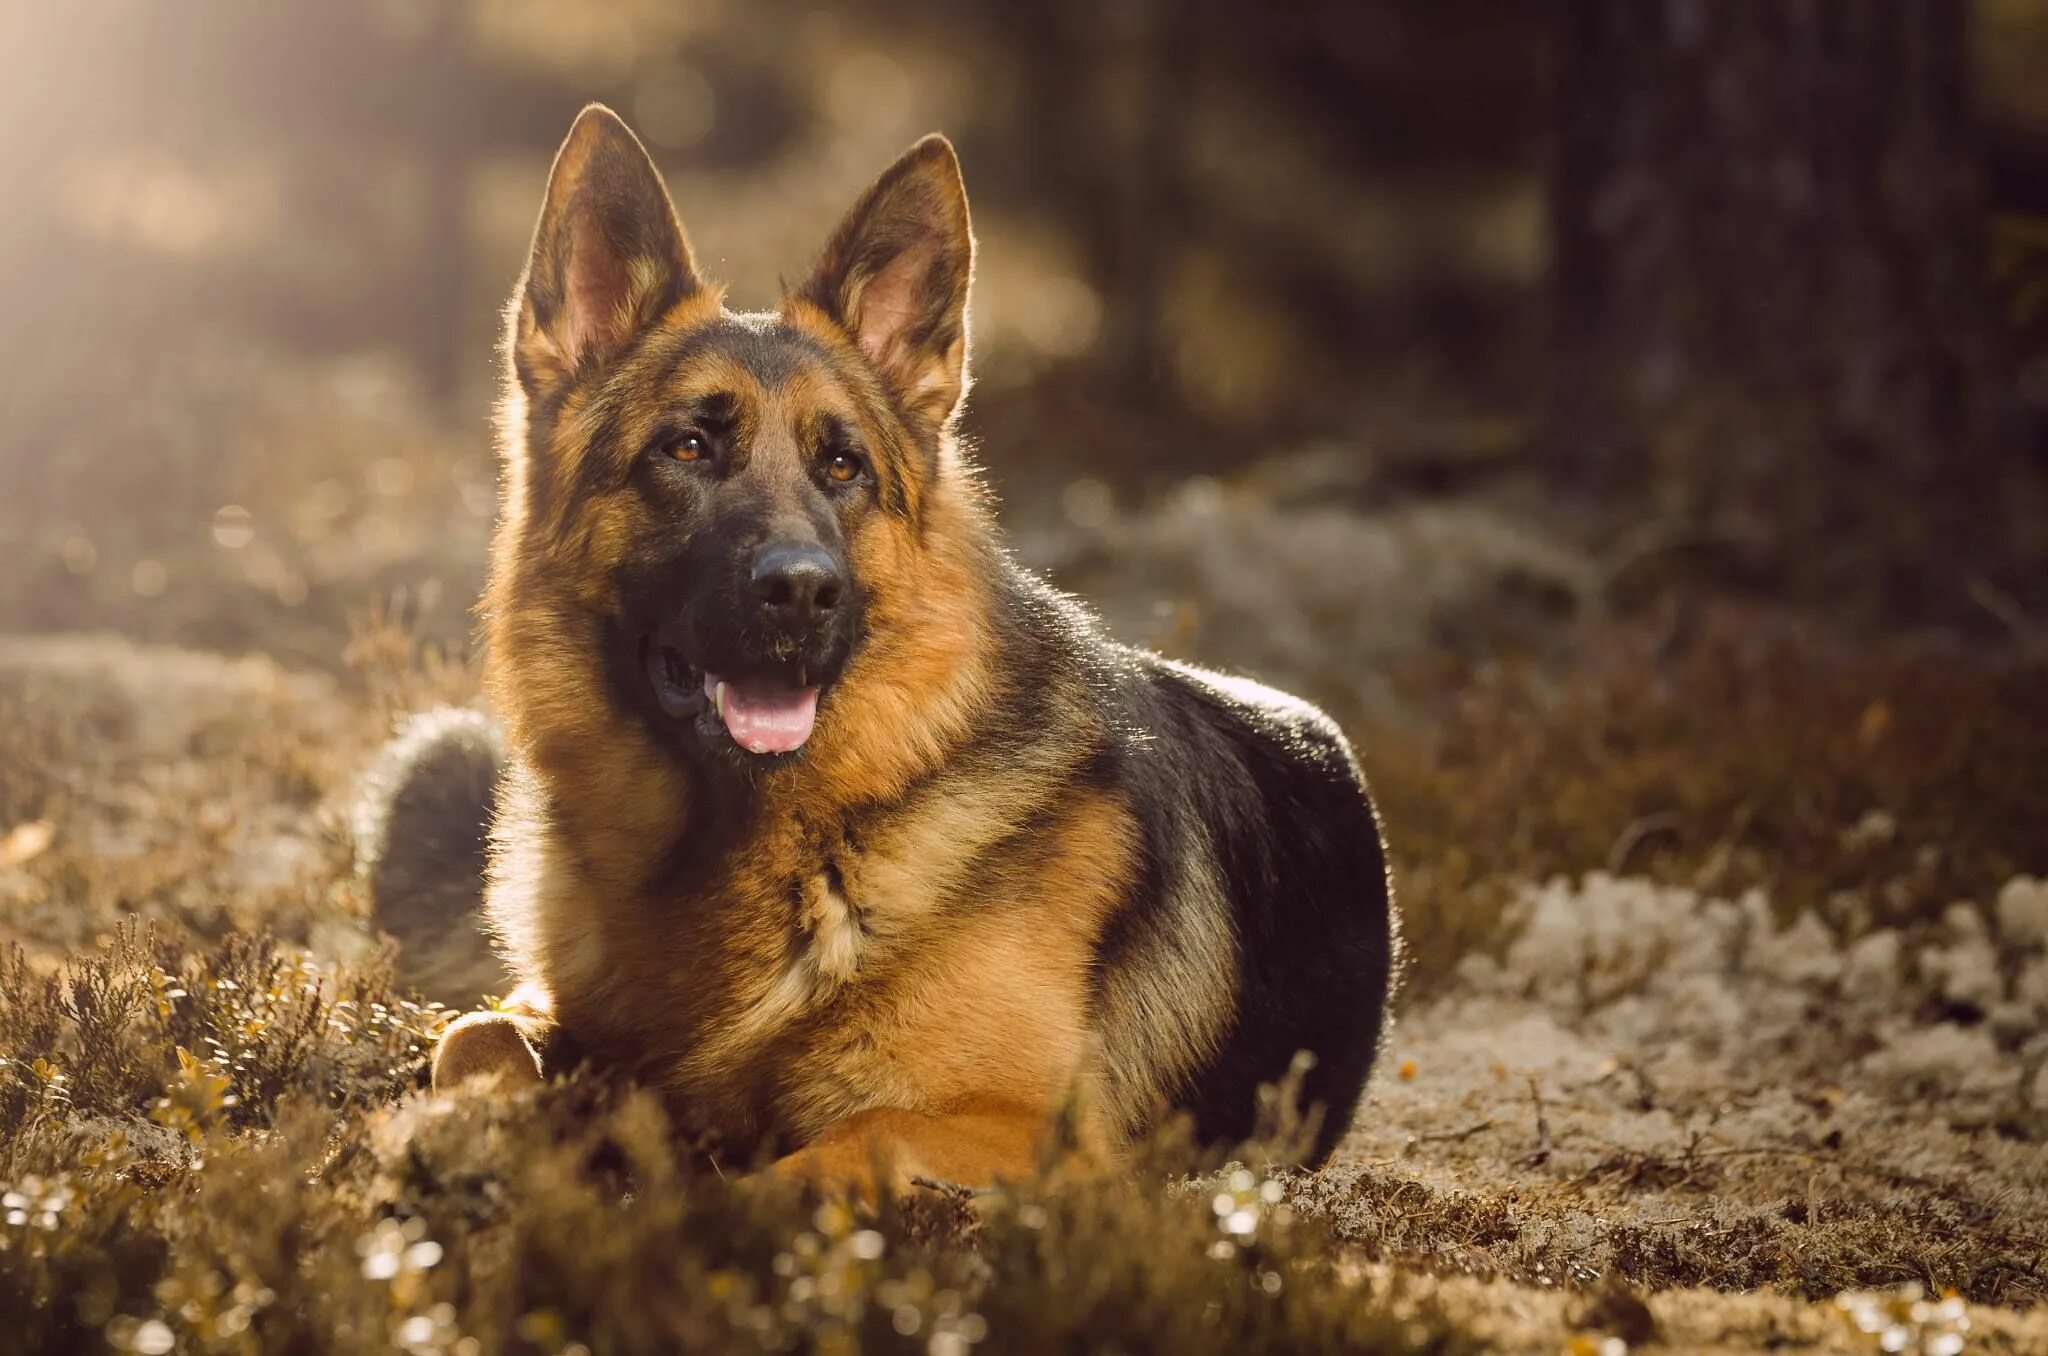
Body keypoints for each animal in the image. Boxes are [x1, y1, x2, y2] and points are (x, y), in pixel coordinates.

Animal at [360, 103, 1400, 1188]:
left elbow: (818, 1159)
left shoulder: (1030, 1133)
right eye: (686, 448)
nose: (800, 591)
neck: (778, 837)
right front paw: (470, 1135)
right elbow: (472, 1032)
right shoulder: (549, 1013)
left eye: (843, 465)